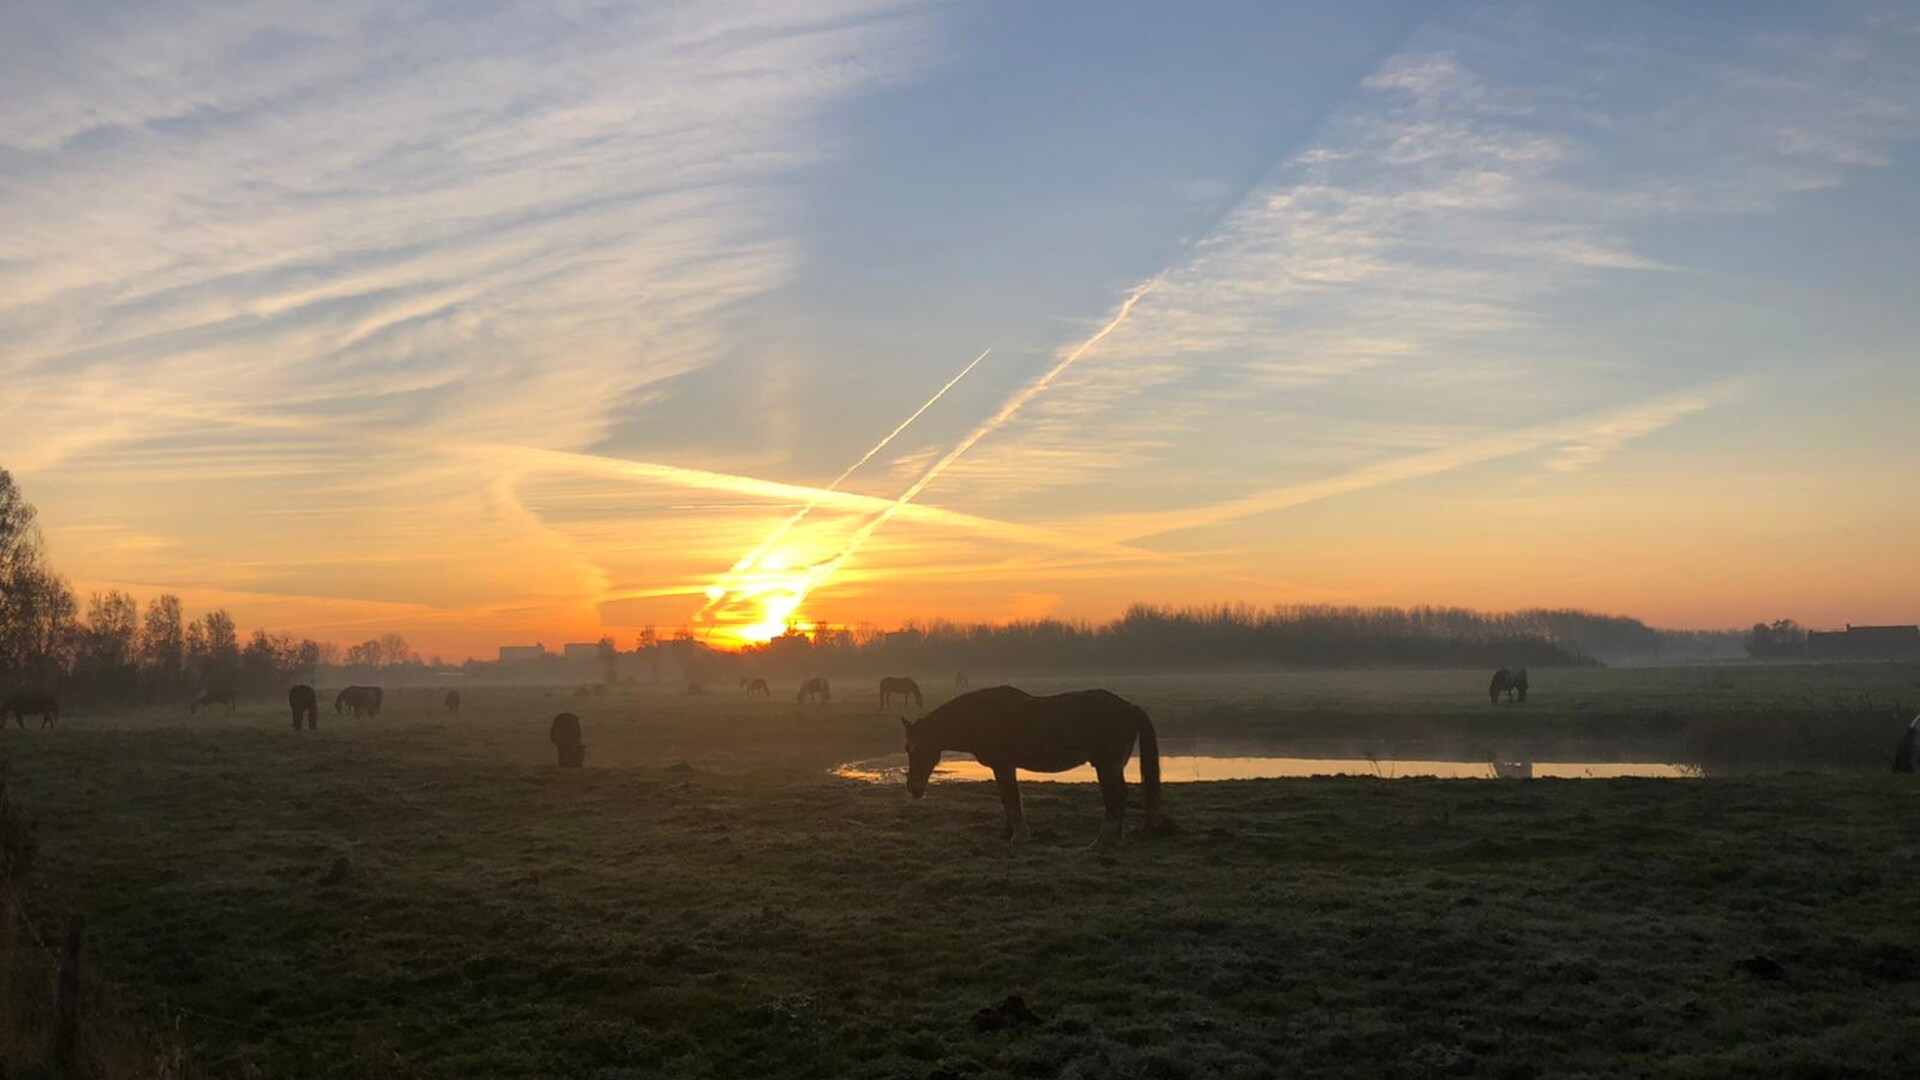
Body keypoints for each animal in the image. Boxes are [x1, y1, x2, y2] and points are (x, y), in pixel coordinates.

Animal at [902, 680, 1167, 849]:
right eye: (907, 749)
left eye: (917, 749)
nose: (913, 789)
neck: (985, 716)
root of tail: (1130, 708)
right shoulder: (1002, 767)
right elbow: (1006, 798)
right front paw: (1009, 833)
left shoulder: (1004, 765)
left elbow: (1011, 798)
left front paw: (1018, 837)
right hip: (1113, 766)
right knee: (1120, 796)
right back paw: (1114, 838)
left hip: (1106, 766)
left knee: (1116, 796)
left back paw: (1102, 840)